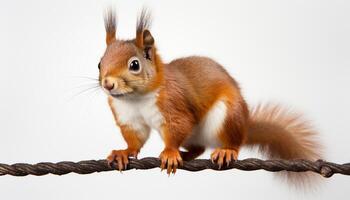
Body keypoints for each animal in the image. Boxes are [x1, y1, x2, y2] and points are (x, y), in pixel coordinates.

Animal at [97, 8, 322, 180]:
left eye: (134, 65)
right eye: (99, 63)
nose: (108, 84)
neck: (136, 98)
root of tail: (245, 126)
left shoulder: (173, 104)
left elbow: (178, 126)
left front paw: (170, 152)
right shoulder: (128, 116)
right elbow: (136, 138)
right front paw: (124, 153)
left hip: (227, 115)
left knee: (232, 142)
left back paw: (225, 151)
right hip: (195, 136)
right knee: (199, 148)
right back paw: (186, 154)